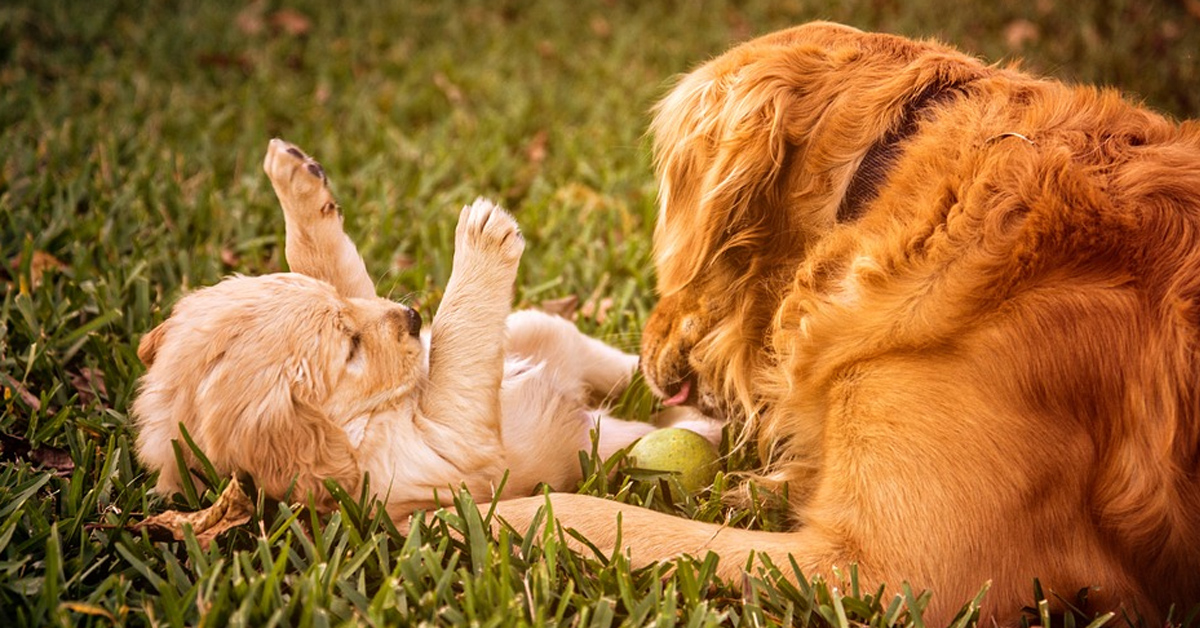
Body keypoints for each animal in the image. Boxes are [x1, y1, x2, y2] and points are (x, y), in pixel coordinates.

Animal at [137, 138, 676, 516]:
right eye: (350, 349)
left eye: (343, 311)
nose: (415, 319)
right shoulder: (449, 457)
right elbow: (454, 364)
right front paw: (481, 240)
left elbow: (327, 261)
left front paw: (296, 183)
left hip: (539, 327)